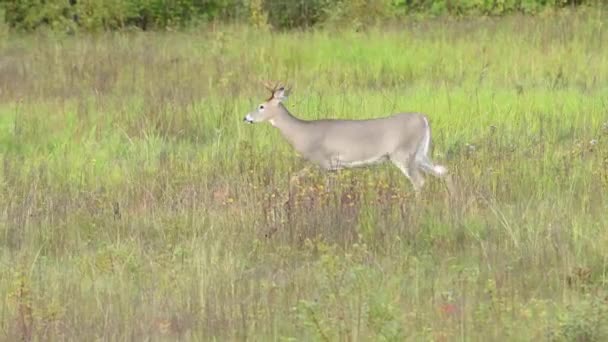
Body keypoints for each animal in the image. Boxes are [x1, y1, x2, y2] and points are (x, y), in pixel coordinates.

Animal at [243, 81, 452, 195]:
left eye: (261, 106)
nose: (246, 118)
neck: (302, 133)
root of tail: (423, 118)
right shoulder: (333, 167)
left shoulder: (322, 162)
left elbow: (305, 181)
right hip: (420, 154)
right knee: (444, 171)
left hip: (402, 153)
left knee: (420, 181)